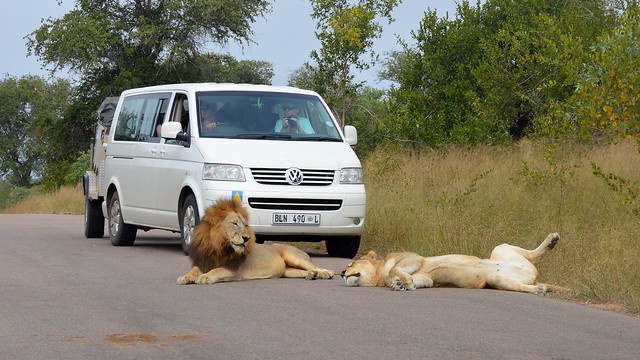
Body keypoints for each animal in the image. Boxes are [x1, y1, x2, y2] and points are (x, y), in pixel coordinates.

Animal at [176, 198, 336, 286]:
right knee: (303, 271)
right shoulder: (205, 261)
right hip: (288, 271)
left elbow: (217, 270)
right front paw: (185, 277)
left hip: (294, 256)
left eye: (245, 225)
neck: (218, 246)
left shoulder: (234, 270)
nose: (247, 238)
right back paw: (312, 275)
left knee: (316, 266)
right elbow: (193, 270)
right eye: (235, 223)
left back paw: (326, 273)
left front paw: (205, 277)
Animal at [340, 232, 560, 294]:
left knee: (534, 255)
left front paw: (402, 281)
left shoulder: (413, 258)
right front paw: (400, 284)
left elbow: (395, 267)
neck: (378, 276)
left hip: (500, 248)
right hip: (495, 278)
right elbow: (417, 281)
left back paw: (552, 239)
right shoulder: (427, 279)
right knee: (526, 280)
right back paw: (539, 288)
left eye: (350, 265)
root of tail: (533, 276)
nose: (341, 273)